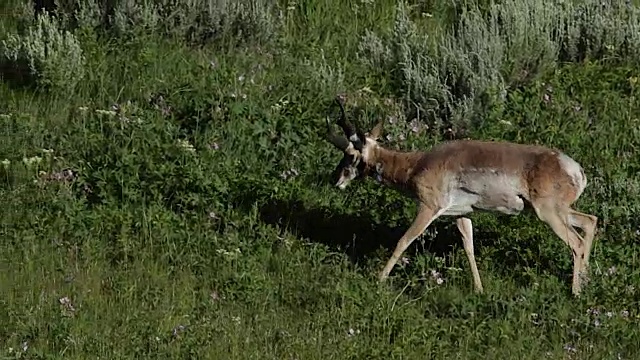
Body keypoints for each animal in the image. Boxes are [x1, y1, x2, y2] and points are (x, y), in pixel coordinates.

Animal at [328, 96, 596, 296]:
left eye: (350, 155)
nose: (334, 179)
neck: (417, 164)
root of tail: (575, 168)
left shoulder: (428, 208)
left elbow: (403, 241)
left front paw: (379, 279)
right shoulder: (462, 214)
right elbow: (469, 248)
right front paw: (479, 289)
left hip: (548, 213)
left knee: (576, 242)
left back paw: (575, 292)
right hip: (559, 211)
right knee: (590, 222)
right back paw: (586, 281)